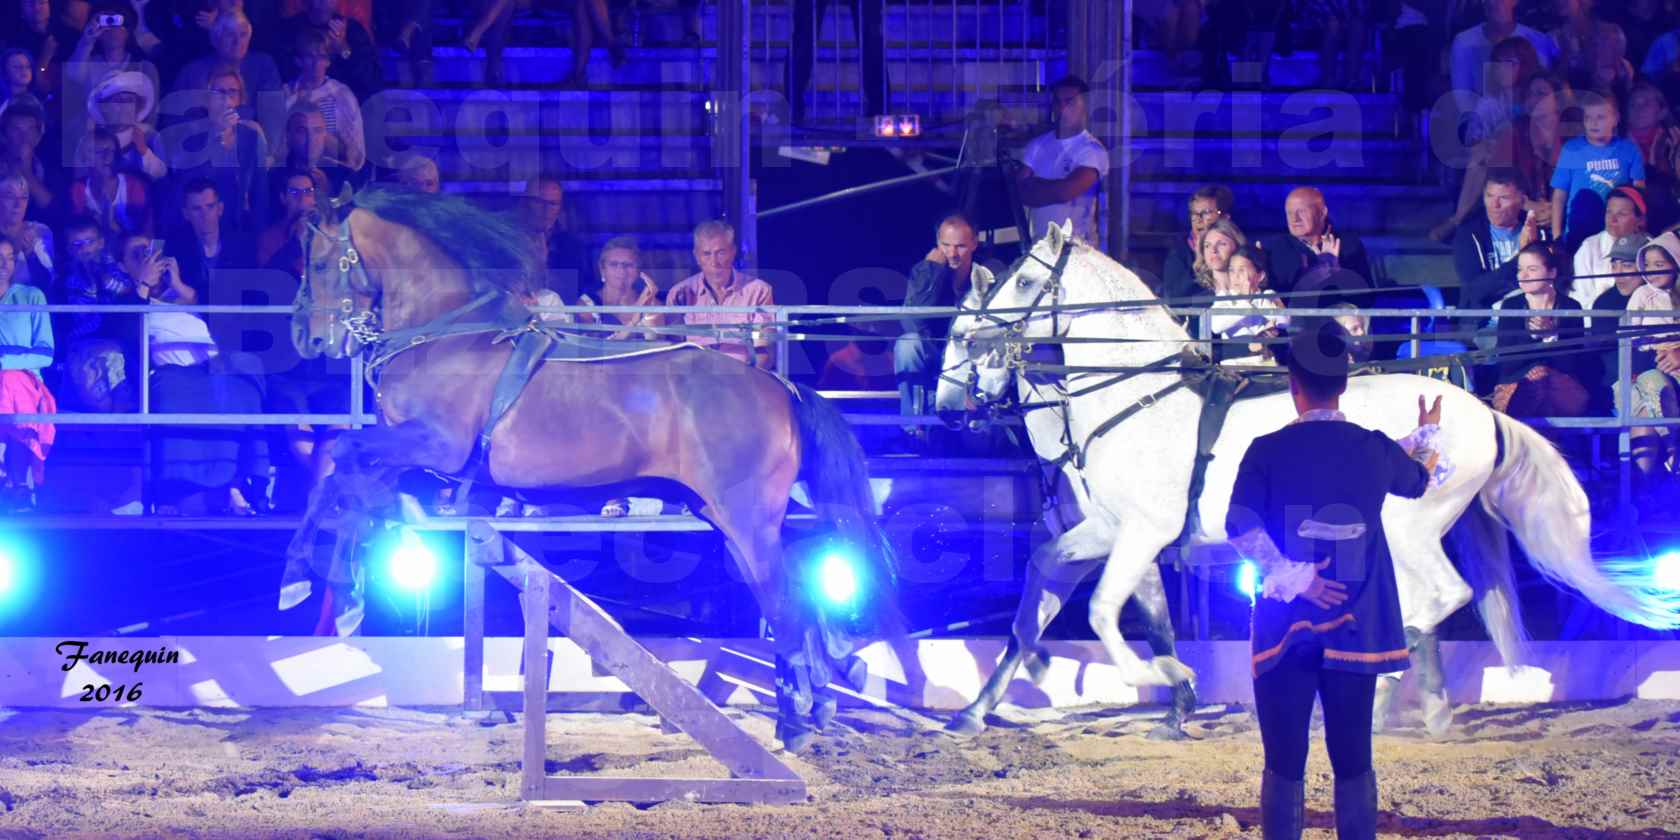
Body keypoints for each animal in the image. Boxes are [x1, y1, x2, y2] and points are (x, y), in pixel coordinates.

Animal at [282, 187, 900, 745]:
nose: (306, 338)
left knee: (785, 599)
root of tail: (779, 386)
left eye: (319, 261)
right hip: (730, 519)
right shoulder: (406, 453)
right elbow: (347, 483)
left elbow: (340, 462)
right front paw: (343, 590)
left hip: (746, 519)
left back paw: (796, 718)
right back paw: (824, 691)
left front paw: (300, 580)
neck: (448, 336)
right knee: (797, 588)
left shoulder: (434, 444)